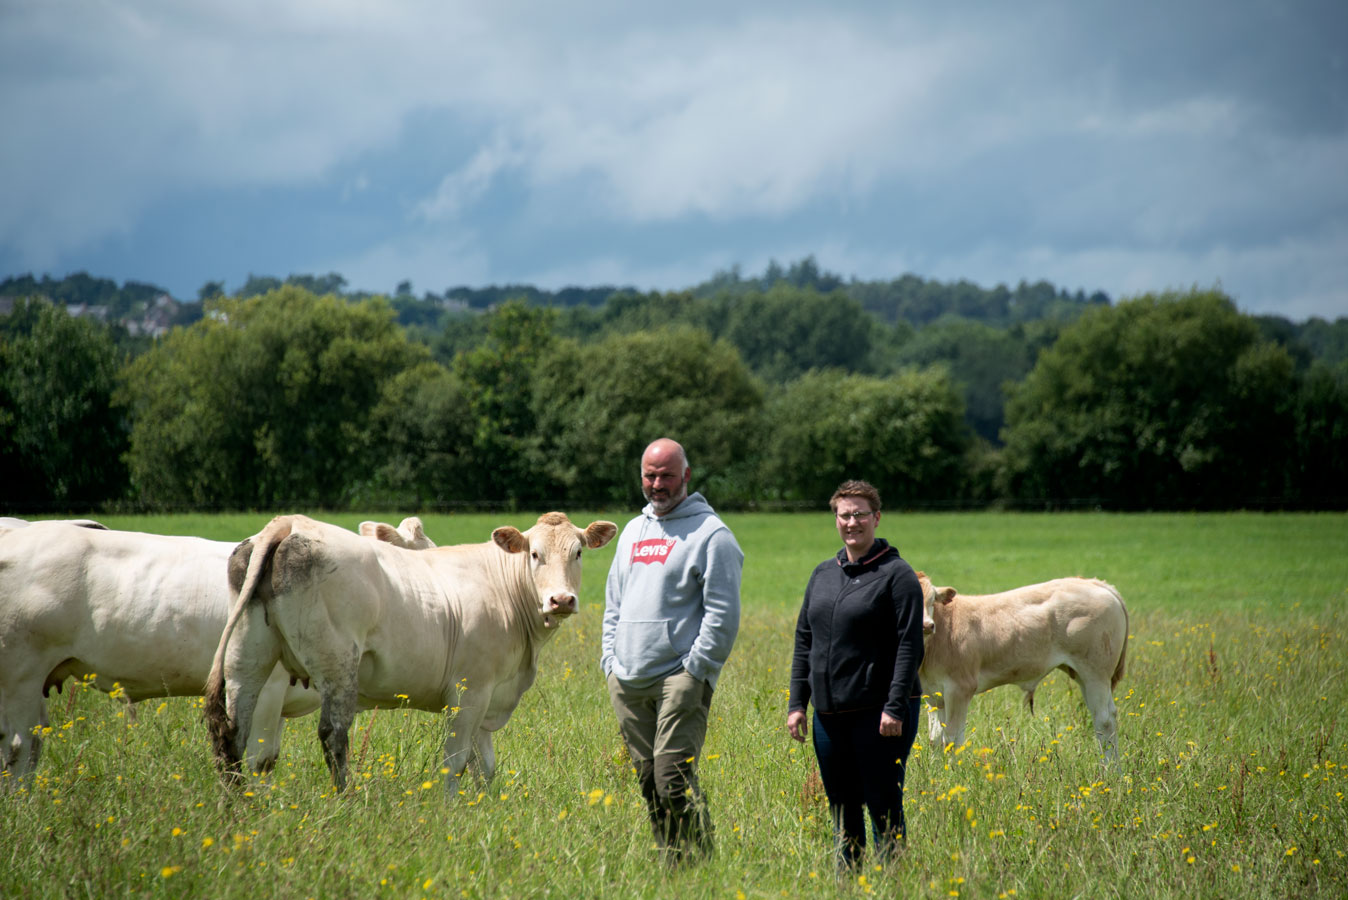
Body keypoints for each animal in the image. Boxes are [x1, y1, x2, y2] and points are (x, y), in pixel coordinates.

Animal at [916, 573, 1126, 754]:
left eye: (931, 600)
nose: (927, 625)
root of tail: (1092, 582)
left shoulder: (959, 689)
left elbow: (952, 739)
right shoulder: (933, 695)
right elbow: (935, 739)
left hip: (1096, 673)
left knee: (1104, 721)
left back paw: (1108, 770)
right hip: (1084, 676)